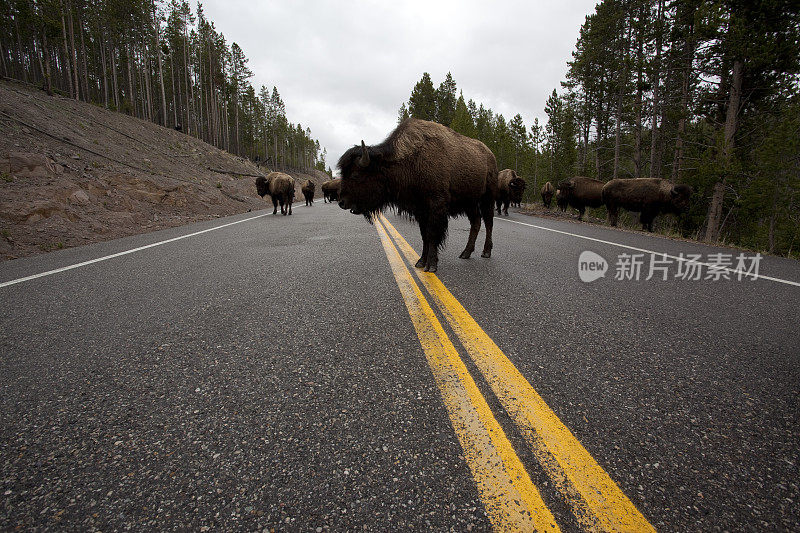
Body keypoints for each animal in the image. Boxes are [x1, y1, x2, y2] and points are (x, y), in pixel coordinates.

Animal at [336, 118, 496, 272]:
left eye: (356, 175)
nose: (342, 202)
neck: (412, 160)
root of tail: (490, 154)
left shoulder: (436, 206)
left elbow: (432, 234)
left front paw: (431, 265)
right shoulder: (420, 210)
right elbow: (424, 235)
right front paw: (420, 262)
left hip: (487, 199)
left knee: (488, 223)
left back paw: (486, 252)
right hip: (470, 203)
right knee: (476, 222)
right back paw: (465, 253)